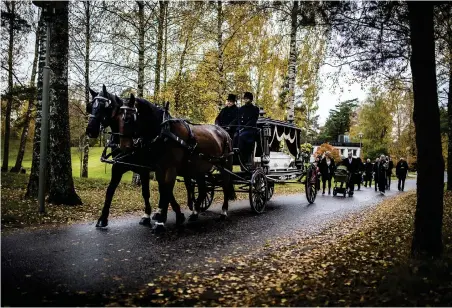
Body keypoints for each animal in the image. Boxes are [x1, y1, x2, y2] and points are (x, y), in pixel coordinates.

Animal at [85, 85, 185, 229]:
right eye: (90, 106)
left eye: (105, 106)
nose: (90, 130)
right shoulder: (118, 167)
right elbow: (110, 191)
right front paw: (102, 218)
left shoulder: (144, 169)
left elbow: (146, 192)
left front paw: (147, 215)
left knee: (165, 188)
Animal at [116, 94, 237, 226]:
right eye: (118, 118)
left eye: (128, 118)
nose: (124, 146)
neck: (164, 132)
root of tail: (224, 132)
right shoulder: (159, 168)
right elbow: (163, 189)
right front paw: (166, 215)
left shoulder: (170, 168)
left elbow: (166, 189)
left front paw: (161, 220)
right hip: (199, 169)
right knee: (203, 189)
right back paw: (195, 213)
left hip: (225, 165)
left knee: (225, 186)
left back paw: (223, 212)